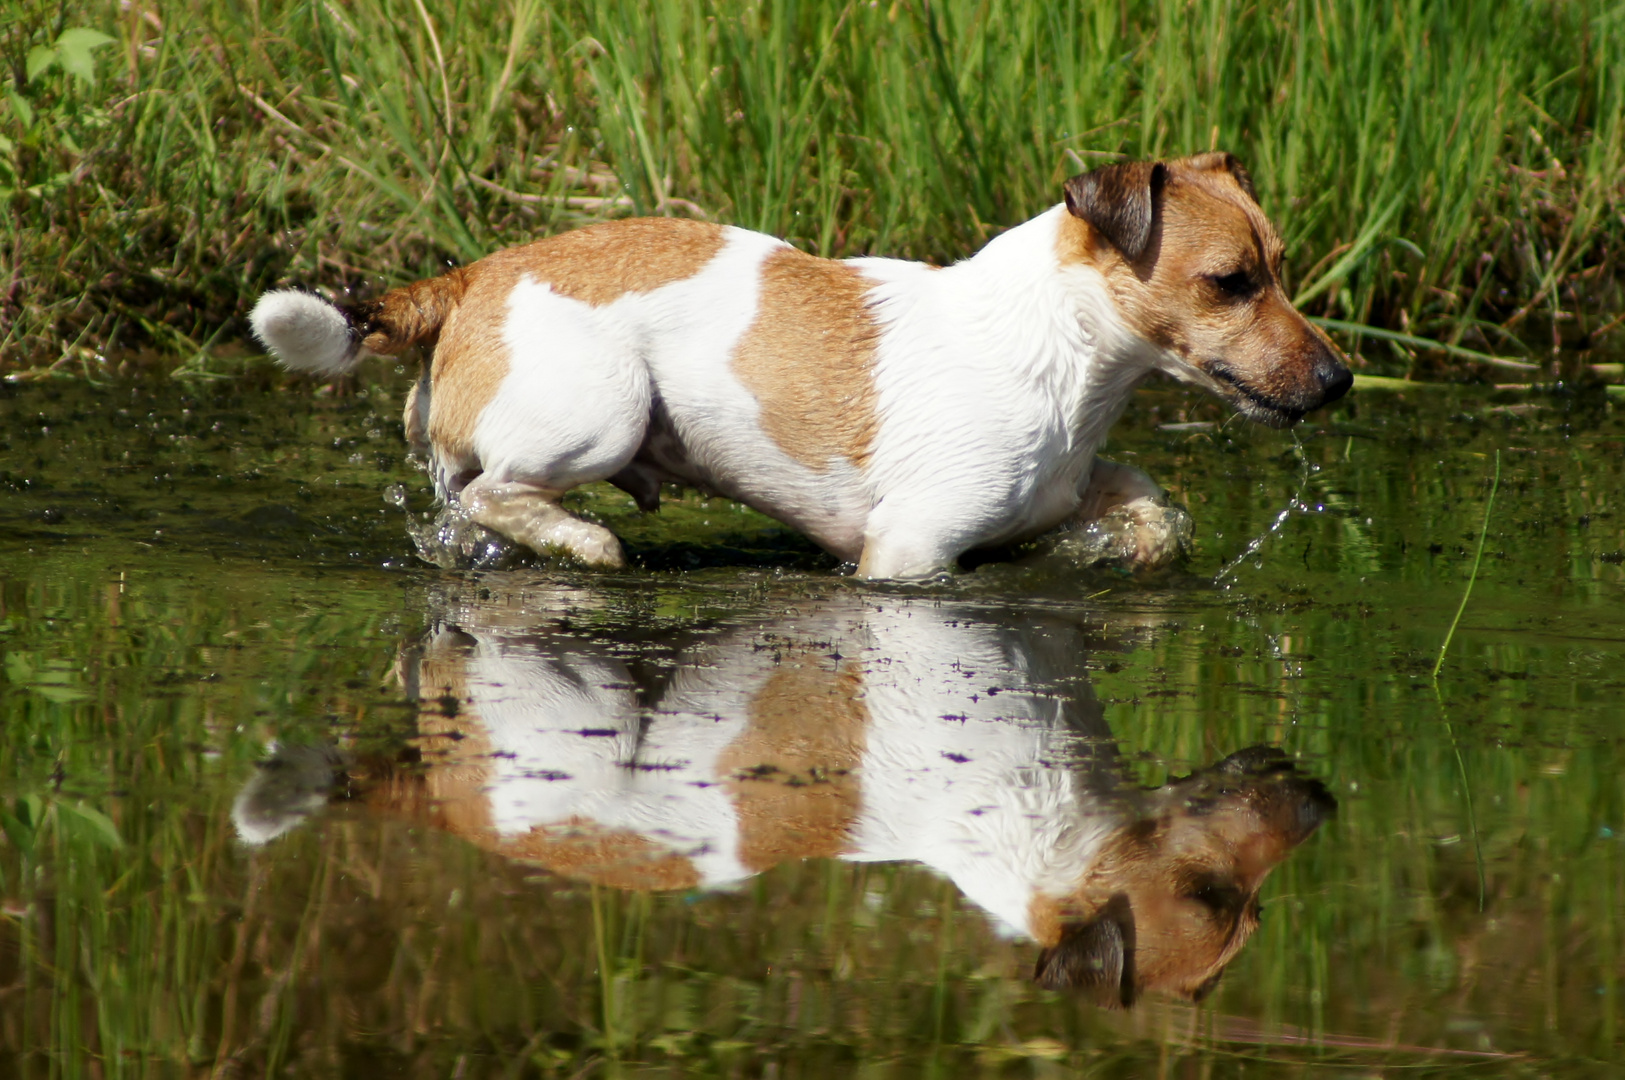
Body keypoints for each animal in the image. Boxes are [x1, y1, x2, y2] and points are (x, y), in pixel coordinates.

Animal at [250, 152, 1345, 578]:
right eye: (1230, 282)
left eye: (1281, 266)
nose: (1338, 381)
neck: (1051, 347)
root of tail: (475, 272)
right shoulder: (906, 557)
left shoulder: (1063, 489)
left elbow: (1146, 506)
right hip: (602, 414)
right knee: (498, 494)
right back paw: (585, 543)